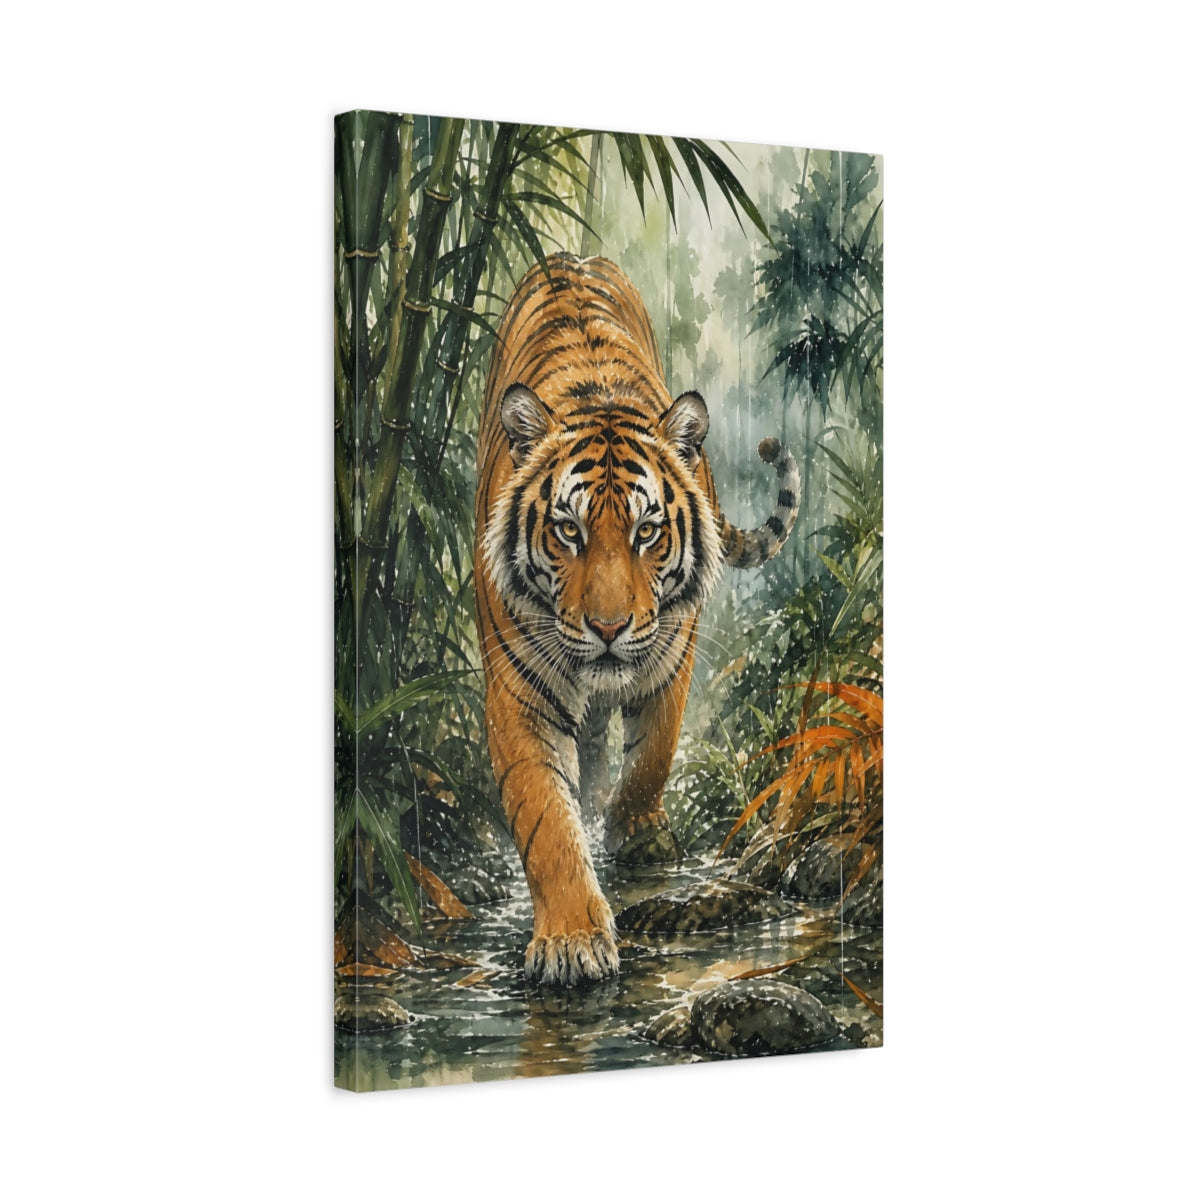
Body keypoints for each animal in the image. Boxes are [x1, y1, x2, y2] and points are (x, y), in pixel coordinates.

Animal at [474, 254, 799, 987]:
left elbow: (654, 754)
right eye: (567, 530)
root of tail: (572, 257)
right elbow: (546, 818)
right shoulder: (517, 692)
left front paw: (638, 835)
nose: (608, 628)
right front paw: (571, 939)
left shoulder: (672, 653)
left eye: (647, 531)